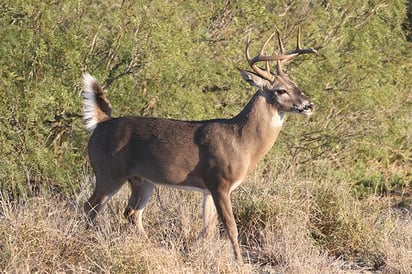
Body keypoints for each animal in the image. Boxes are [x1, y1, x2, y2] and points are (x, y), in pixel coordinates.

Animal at [82, 26, 318, 262]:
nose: (309, 105)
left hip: (143, 180)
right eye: (280, 90)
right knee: (90, 206)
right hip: (108, 172)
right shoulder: (219, 182)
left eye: (295, 85)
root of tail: (101, 123)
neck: (242, 141)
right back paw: (90, 242)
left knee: (132, 213)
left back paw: (151, 248)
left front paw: (192, 252)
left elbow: (208, 228)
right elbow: (230, 227)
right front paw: (240, 263)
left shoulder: (208, 189)